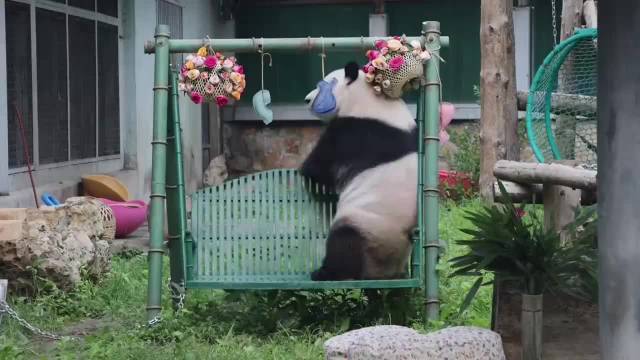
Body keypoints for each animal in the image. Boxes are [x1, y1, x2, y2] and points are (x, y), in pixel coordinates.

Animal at [302, 61, 420, 282]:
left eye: (323, 85)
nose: (307, 99)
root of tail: (381, 272)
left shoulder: (352, 132)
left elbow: (316, 171)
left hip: (366, 225)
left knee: (344, 243)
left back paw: (325, 272)